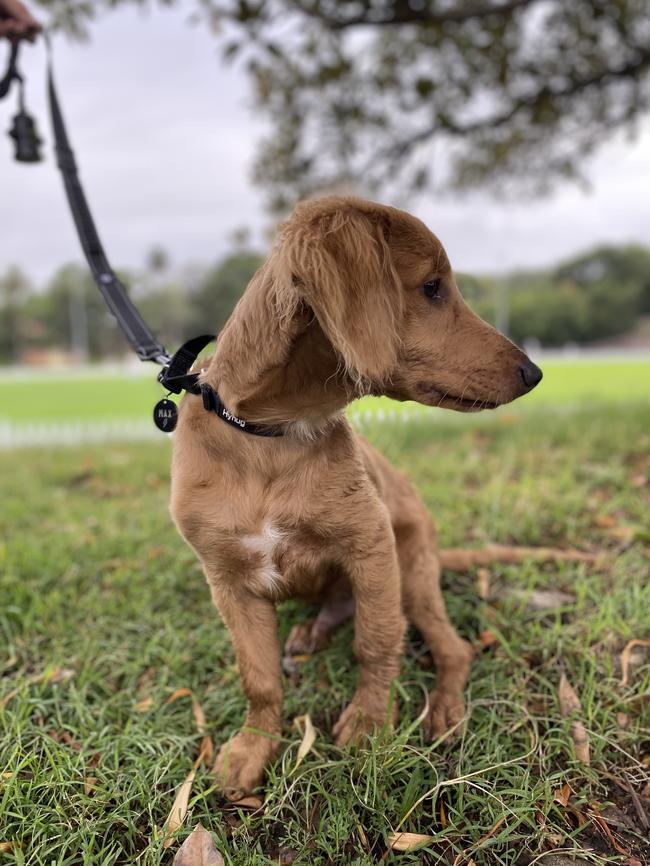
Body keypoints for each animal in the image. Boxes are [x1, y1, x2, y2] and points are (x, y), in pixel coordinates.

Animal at [168, 194, 540, 796]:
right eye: (432, 287)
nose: (534, 373)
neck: (272, 436)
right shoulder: (227, 581)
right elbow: (258, 678)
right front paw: (253, 746)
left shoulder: (372, 545)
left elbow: (377, 639)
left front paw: (369, 720)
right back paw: (309, 634)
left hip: (411, 569)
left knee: (451, 646)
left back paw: (443, 708)